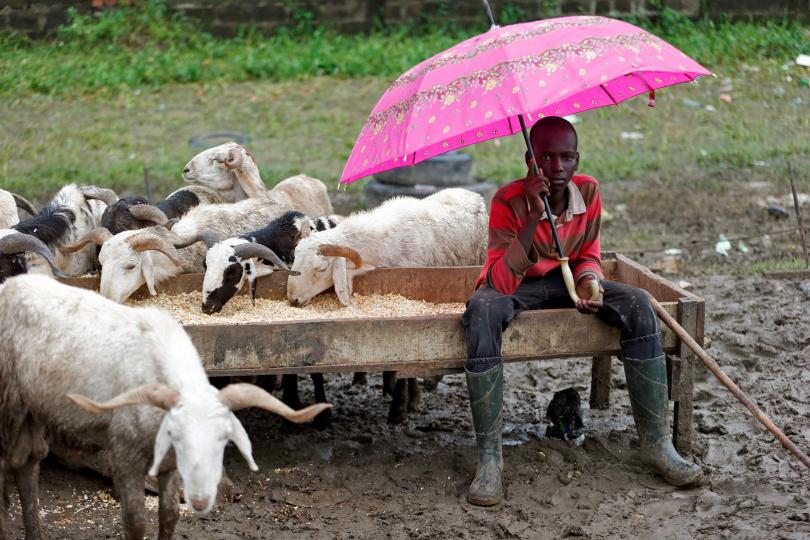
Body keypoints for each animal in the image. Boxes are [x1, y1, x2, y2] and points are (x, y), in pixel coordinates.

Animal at [0, 274, 330, 540]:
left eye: (224, 442)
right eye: (179, 436)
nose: (204, 499)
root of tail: (8, 285)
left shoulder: (170, 464)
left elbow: (169, 515)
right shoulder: (125, 453)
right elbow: (135, 522)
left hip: (30, 406)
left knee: (26, 461)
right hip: (7, 401)